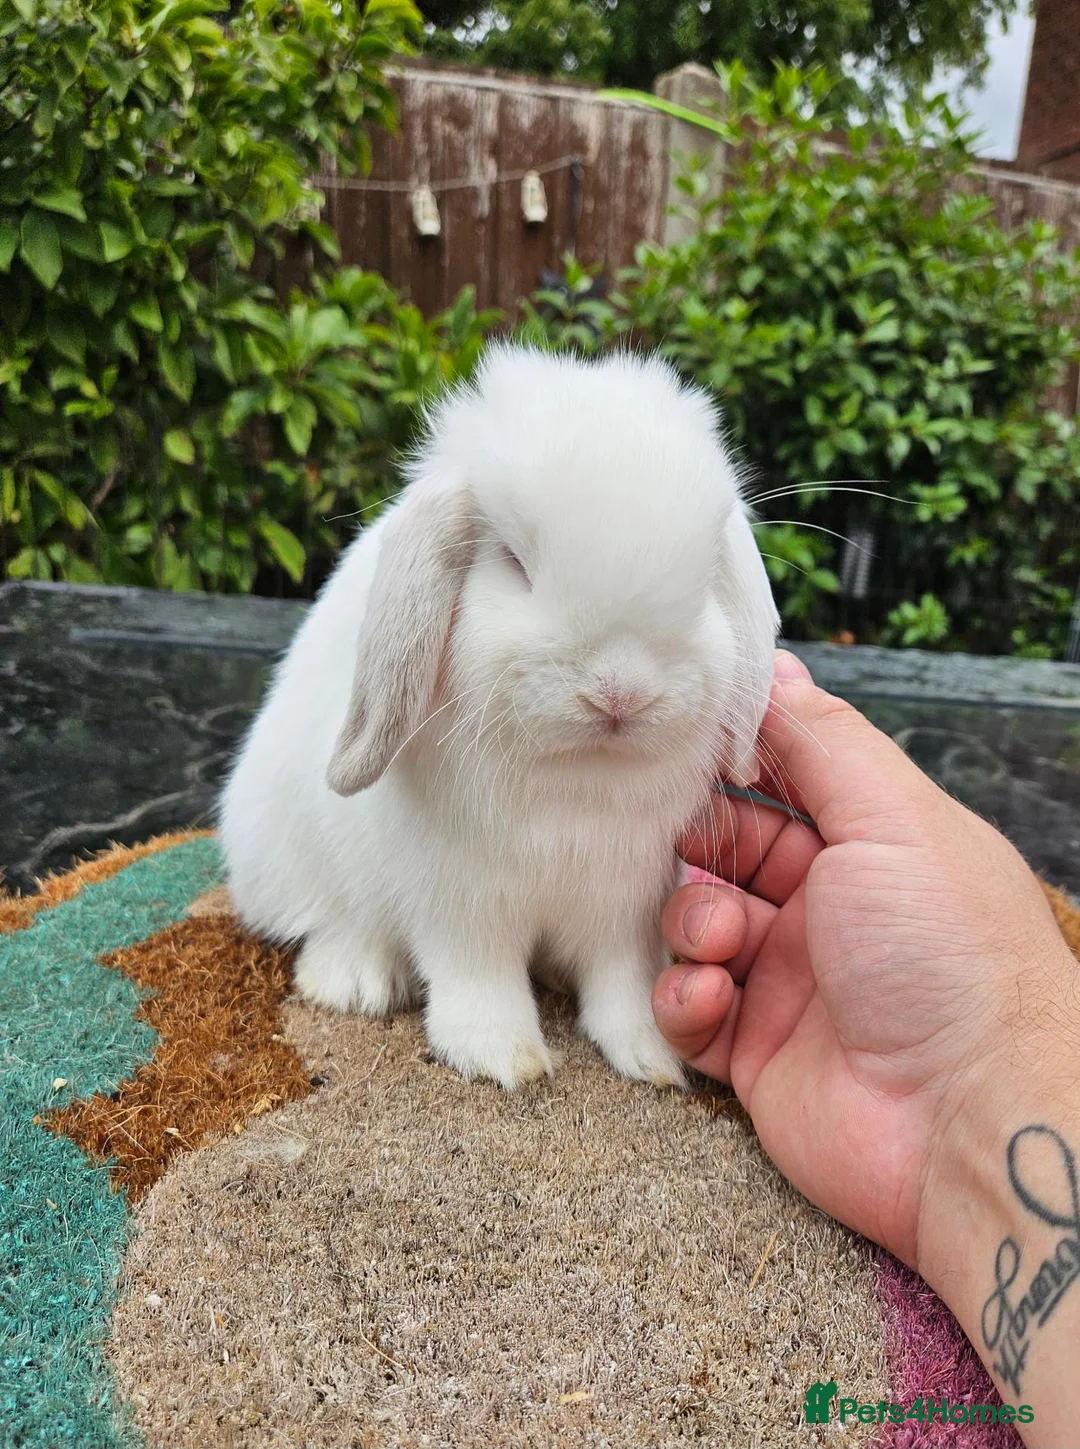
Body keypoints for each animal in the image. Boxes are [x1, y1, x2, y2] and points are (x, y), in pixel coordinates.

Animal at [220, 345, 779, 1090]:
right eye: (514, 562)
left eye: (703, 578)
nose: (620, 690)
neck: (575, 777)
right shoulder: (463, 902)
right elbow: (477, 976)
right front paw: (501, 1056)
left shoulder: (629, 904)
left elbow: (623, 982)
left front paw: (653, 1055)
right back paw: (356, 979)